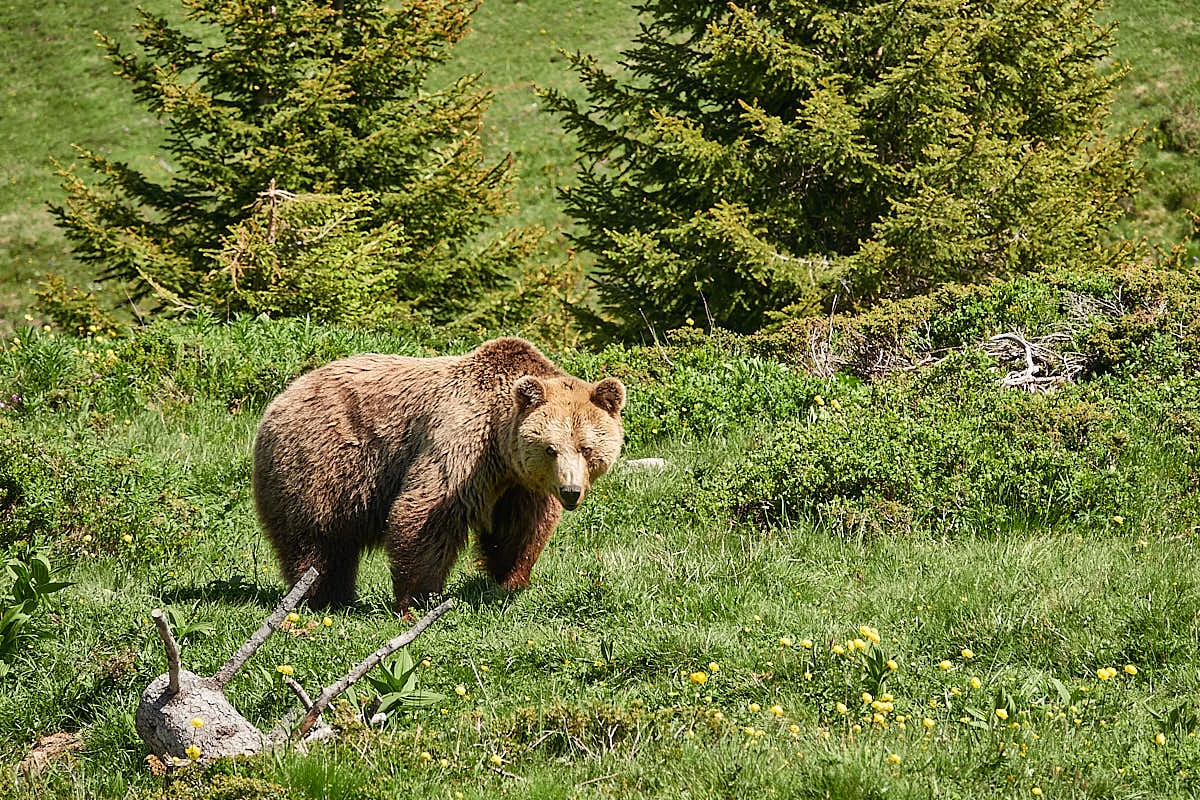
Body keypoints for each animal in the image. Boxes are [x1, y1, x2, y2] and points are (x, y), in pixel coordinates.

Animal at [251, 337, 626, 612]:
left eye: (586, 448)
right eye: (551, 448)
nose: (571, 491)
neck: (500, 446)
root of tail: (280, 398)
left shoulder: (520, 484)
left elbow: (520, 529)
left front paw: (509, 580)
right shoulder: (462, 442)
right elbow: (427, 512)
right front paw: (417, 599)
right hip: (321, 461)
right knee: (315, 537)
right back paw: (320, 596)